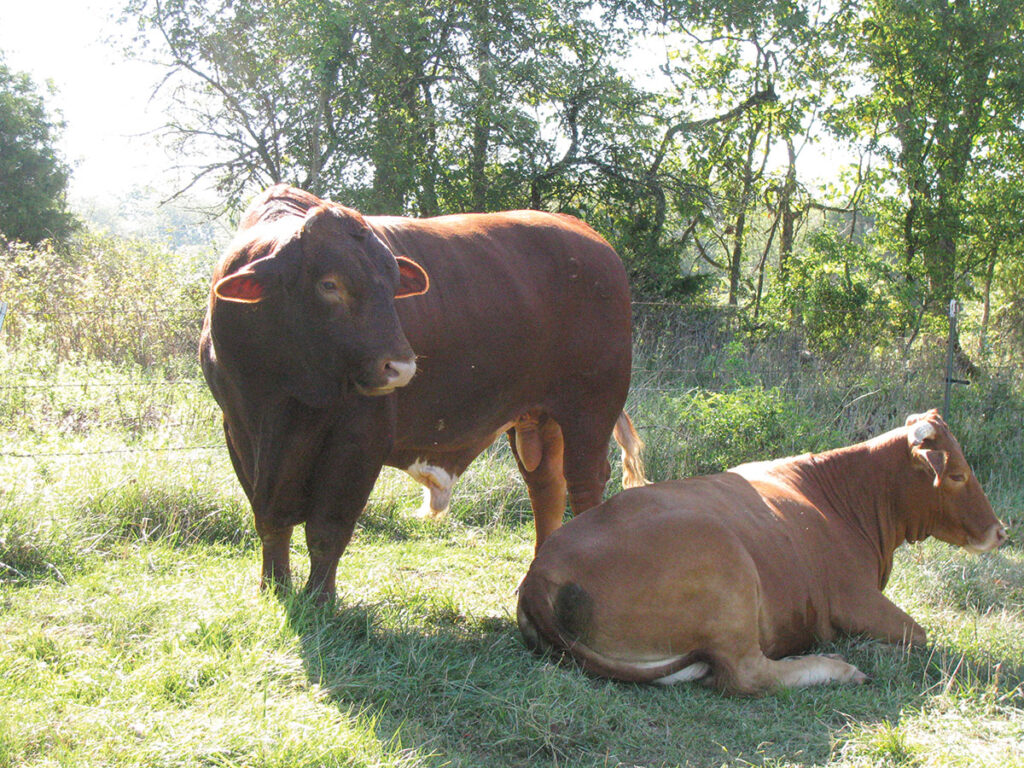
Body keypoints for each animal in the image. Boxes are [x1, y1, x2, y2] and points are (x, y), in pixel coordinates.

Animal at [200, 185, 643, 602]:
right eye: (329, 284)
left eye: (394, 285)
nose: (401, 368)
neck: (285, 395)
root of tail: (590, 238)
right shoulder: (240, 431)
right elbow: (269, 521)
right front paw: (273, 587)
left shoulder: (358, 441)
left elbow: (327, 528)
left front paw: (320, 598)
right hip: (539, 417)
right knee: (546, 488)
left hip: (590, 409)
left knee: (583, 484)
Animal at [520, 415, 1007, 696]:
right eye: (958, 475)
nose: (1000, 531)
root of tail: (540, 573)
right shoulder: (854, 598)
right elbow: (917, 635)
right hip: (727, 572)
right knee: (748, 675)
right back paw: (836, 667)